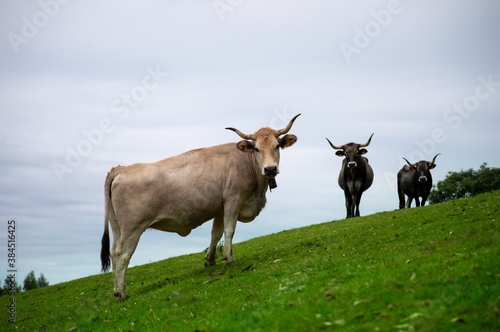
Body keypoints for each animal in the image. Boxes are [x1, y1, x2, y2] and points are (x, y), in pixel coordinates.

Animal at [99, 114, 298, 298]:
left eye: (277, 146)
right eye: (256, 148)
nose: (270, 169)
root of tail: (120, 169)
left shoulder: (220, 207)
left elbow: (216, 233)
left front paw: (210, 260)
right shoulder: (233, 199)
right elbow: (229, 230)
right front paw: (229, 258)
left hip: (117, 227)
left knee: (113, 252)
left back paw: (116, 291)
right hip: (132, 228)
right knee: (123, 254)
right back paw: (122, 293)